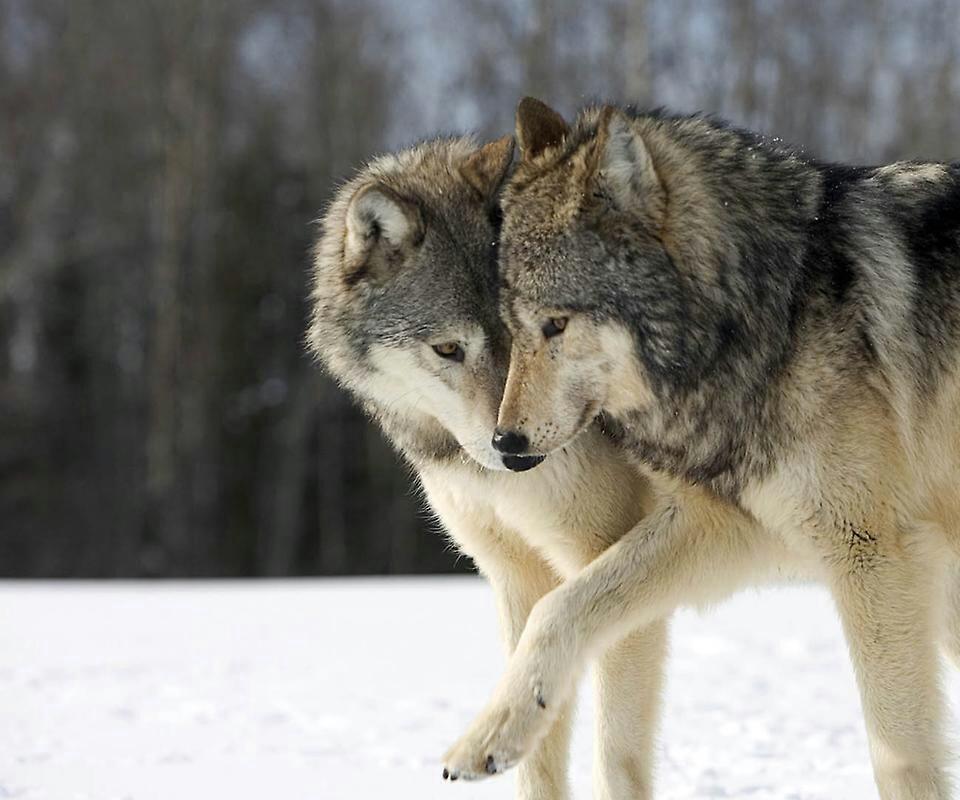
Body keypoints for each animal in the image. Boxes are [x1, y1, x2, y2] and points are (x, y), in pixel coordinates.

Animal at [308, 135, 674, 800]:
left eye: (548, 329)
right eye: (449, 348)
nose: (518, 451)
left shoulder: (611, 572)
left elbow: (615, 757)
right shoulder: (520, 579)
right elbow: (536, 753)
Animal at [442, 98, 960, 799]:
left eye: (556, 324)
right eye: (512, 328)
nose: (508, 445)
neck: (768, 316)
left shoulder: (871, 554)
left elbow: (897, 752)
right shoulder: (728, 524)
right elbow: (559, 605)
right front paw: (491, 736)